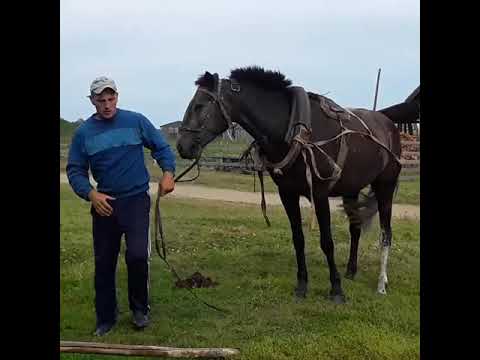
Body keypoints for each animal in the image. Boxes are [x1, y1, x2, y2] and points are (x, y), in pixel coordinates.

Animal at [176, 66, 416, 302]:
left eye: (199, 106)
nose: (182, 146)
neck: (293, 128)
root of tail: (388, 124)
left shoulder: (319, 195)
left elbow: (327, 242)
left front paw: (336, 289)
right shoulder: (287, 193)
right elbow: (298, 239)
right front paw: (302, 286)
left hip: (385, 187)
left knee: (386, 234)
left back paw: (381, 283)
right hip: (352, 189)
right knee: (355, 228)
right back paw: (351, 270)